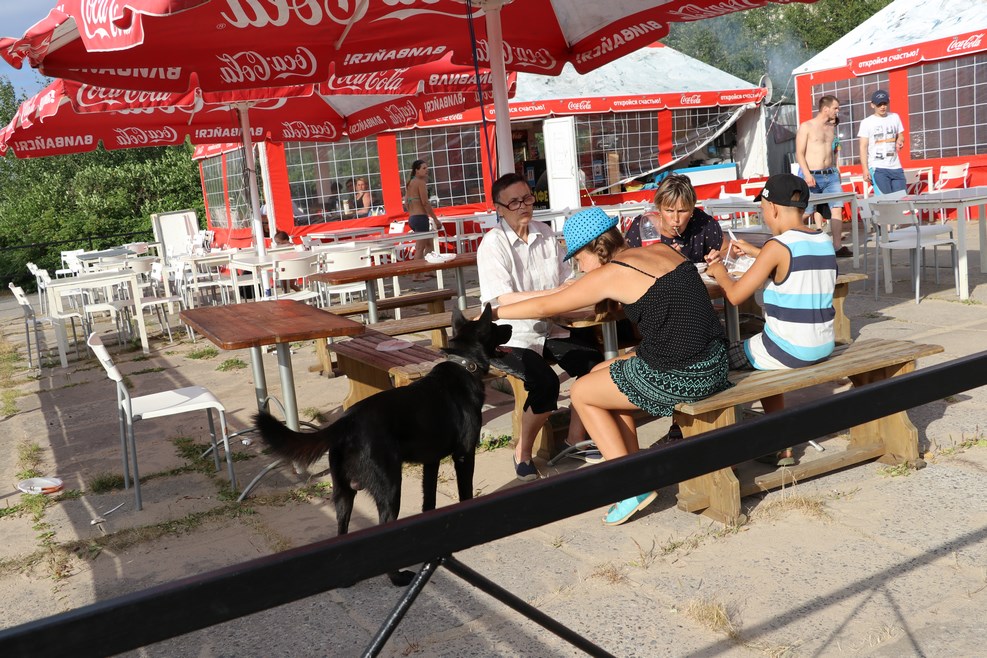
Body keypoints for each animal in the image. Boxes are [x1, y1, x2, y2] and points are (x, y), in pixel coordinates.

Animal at [254, 303, 511, 586]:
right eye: (495, 327)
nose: (510, 325)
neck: (464, 365)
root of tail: (347, 421)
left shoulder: (431, 462)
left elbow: (429, 502)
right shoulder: (464, 455)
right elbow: (465, 493)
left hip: (343, 493)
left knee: (342, 532)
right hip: (390, 489)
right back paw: (398, 578)